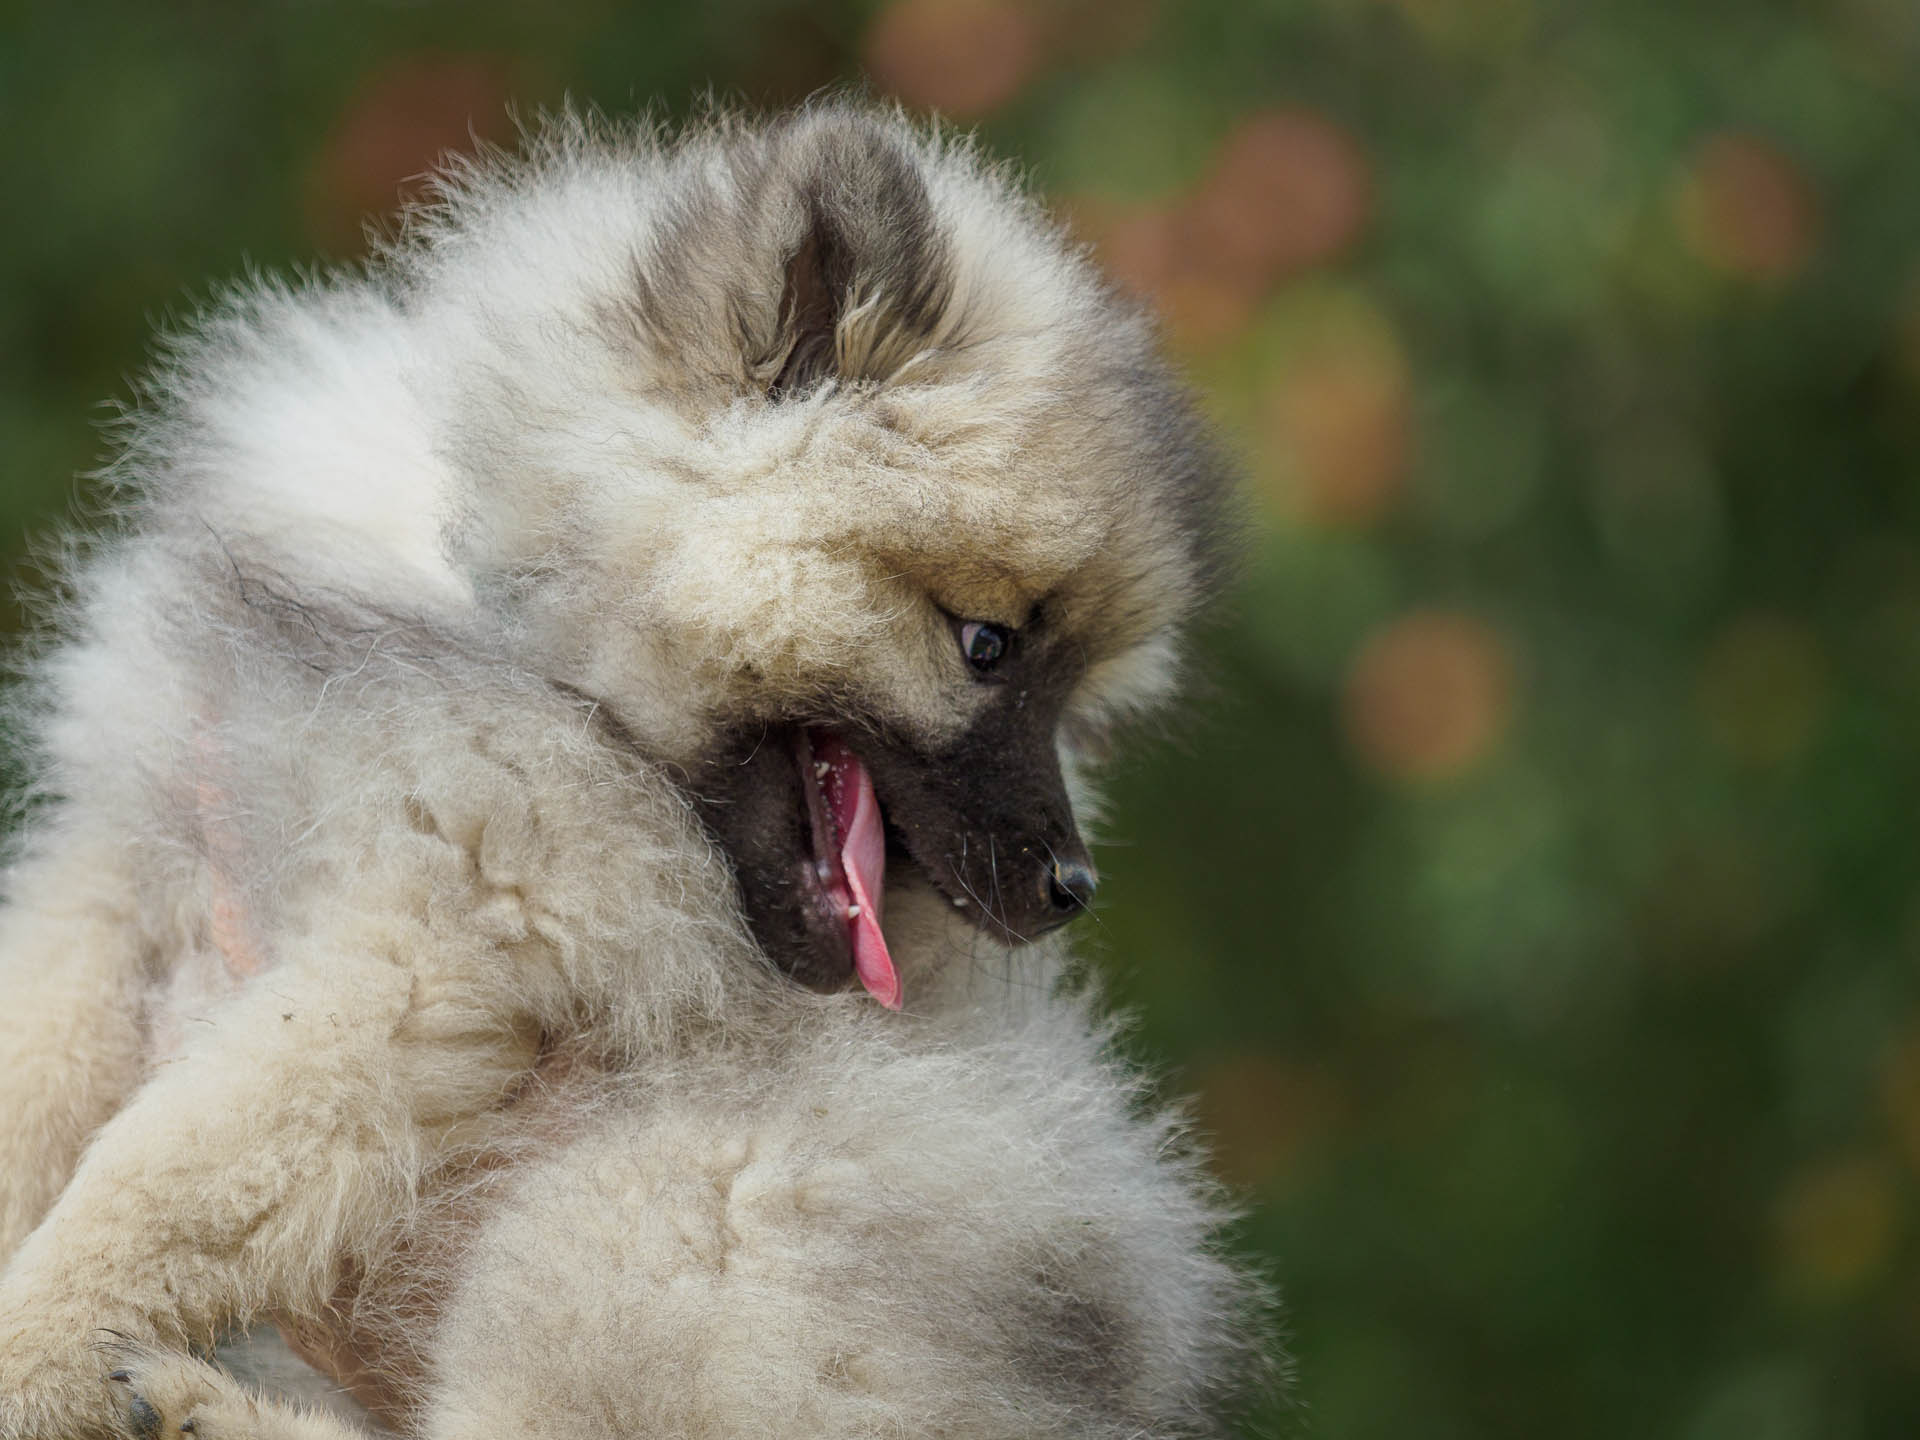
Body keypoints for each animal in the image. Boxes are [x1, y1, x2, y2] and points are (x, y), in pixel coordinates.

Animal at [0, 104, 1244, 1440]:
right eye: (989, 649)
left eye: (1067, 694)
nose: (1073, 888)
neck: (507, 617)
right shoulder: (114, 882)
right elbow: (42, 1109)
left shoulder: (419, 964)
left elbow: (139, 1198)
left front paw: (27, 1360)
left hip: (665, 1196)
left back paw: (197, 1408)